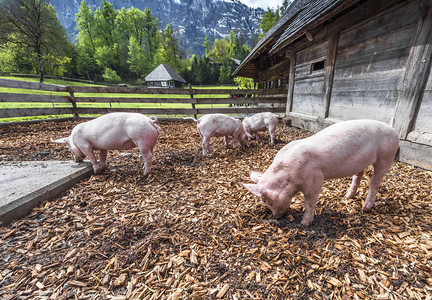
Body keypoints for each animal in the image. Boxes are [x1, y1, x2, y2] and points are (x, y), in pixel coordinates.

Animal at [241, 119, 400, 225]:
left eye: (266, 199)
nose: (275, 217)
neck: (290, 177)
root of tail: (391, 127)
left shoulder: (315, 180)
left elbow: (310, 202)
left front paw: (305, 223)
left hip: (386, 157)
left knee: (375, 181)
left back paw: (365, 208)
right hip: (362, 162)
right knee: (358, 175)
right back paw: (346, 197)